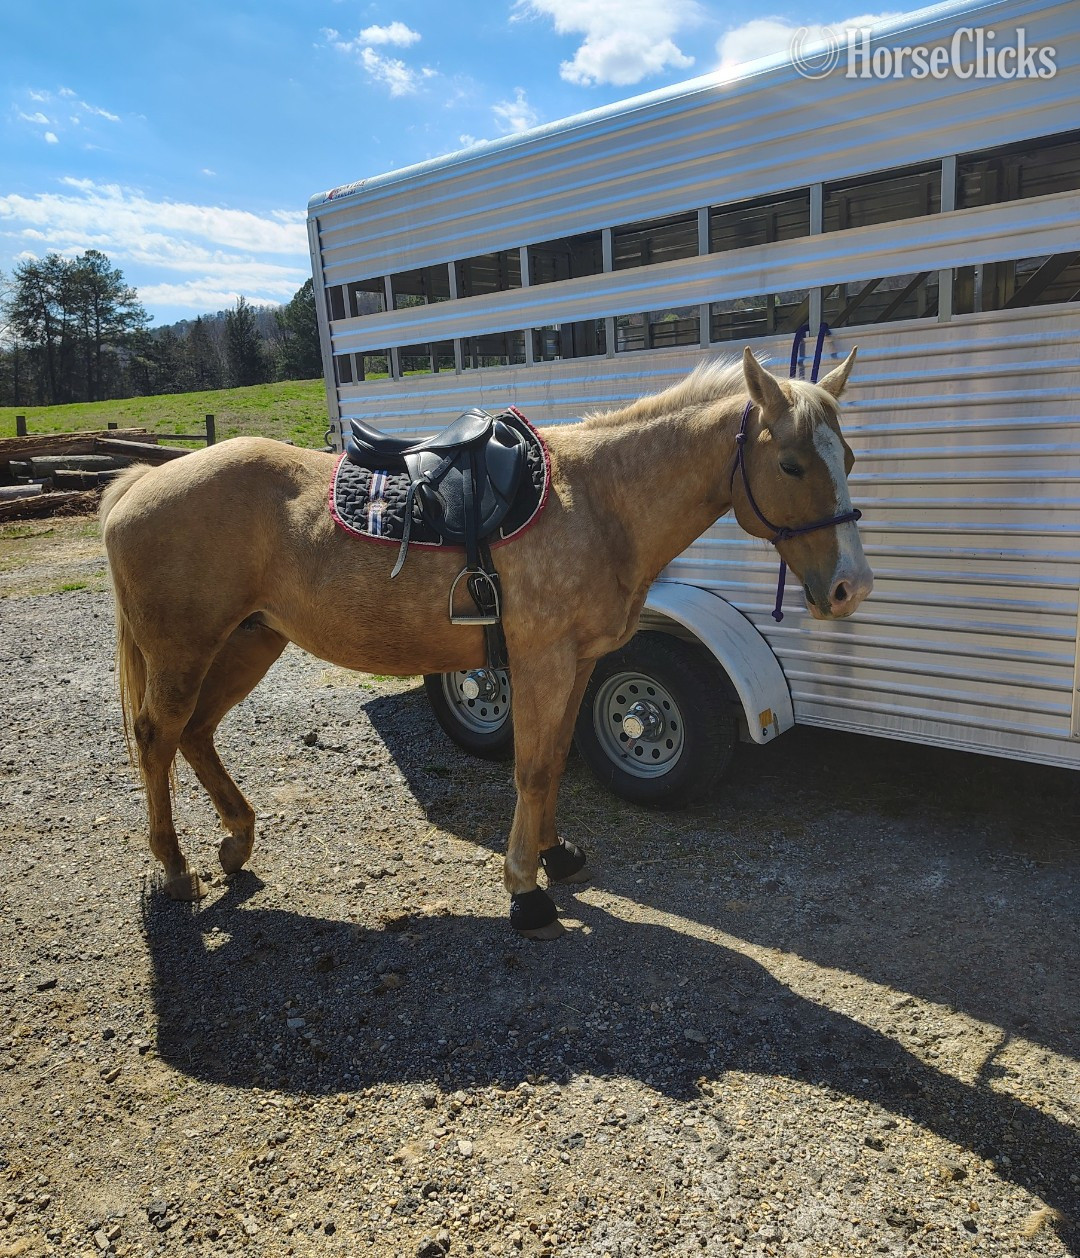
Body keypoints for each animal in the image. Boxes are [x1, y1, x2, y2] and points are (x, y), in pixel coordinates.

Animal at [100, 348, 873, 939]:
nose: (850, 587)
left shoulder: (578, 664)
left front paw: (556, 856)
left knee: (195, 734)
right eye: (793, 464)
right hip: (184, 651)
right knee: (157, 738)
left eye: (848, 456)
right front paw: (525, 890)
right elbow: (530, 770)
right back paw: (175, 869)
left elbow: (554, 762)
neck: (599, 501)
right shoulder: (542, 663)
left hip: (247, 643)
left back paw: (235, 840)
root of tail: (142, 482)